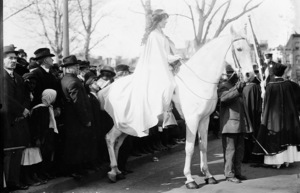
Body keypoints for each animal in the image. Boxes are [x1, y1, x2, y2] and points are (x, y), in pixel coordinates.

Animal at [100, 26, 253, 186]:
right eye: (239, 49)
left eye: (250, 48)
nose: (250, 75)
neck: (198, 81)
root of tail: (108, 89)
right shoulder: (192, 121)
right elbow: (190, 148)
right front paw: (190, 179)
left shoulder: (204, 119)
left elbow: (203, 146)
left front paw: (208, 175)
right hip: (122, 124)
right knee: (109, 138)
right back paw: (113, 172)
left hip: (129, 127)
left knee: (117, 143)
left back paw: (117, 171)